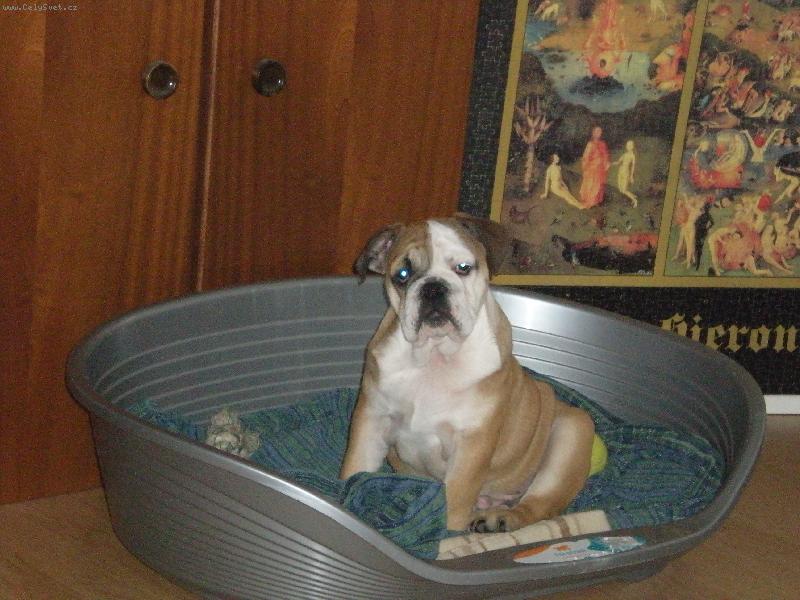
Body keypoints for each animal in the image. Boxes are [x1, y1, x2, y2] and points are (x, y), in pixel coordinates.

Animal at [340, 214, 595, 533]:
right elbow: (356, 471)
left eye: (463, 268)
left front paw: (444, 534)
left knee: (536, 505)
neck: (434, 355)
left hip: (572, 431)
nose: (433, 287)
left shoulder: (471, 444)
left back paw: (499, 520)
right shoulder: (371, 419)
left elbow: (454, 502)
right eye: (402, 274)